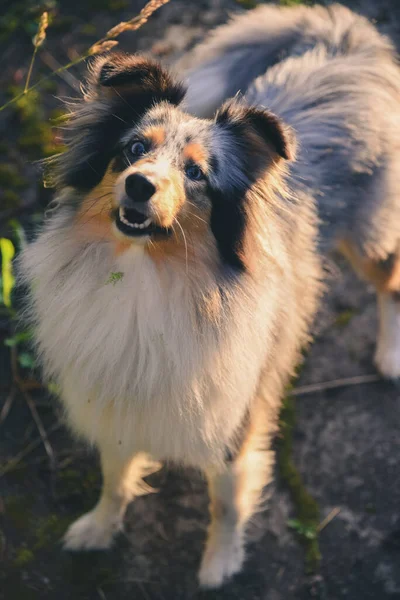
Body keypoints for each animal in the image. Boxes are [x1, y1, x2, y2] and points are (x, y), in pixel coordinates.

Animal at [18, 2, 400, 588]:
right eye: (134, 149)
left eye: (197, 173)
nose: (139, 185)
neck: (149, 275)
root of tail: (343, 42)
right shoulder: (117, 394)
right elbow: (115, 474)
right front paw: (99, 528)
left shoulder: (233, 418)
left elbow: (226, 500)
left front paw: (219, 564)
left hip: (369, 240)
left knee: (391, 282)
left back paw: (390, 354)